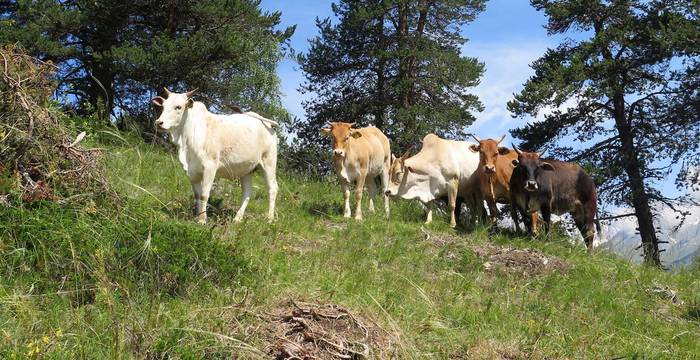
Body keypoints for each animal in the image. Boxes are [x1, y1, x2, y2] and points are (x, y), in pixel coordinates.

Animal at [152, 88, 278, 222]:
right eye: (163, 106)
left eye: (178, 107)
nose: (159, 122)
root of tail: (266, 123)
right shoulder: (192, 171)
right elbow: (197, 195)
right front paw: (197, 216)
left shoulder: (210, 167)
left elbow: (204, 195)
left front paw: (202, 220)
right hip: (246, 169)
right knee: (247, 191)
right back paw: (237, 218)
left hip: (269, 162)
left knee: (272, 189)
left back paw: (269, 218)